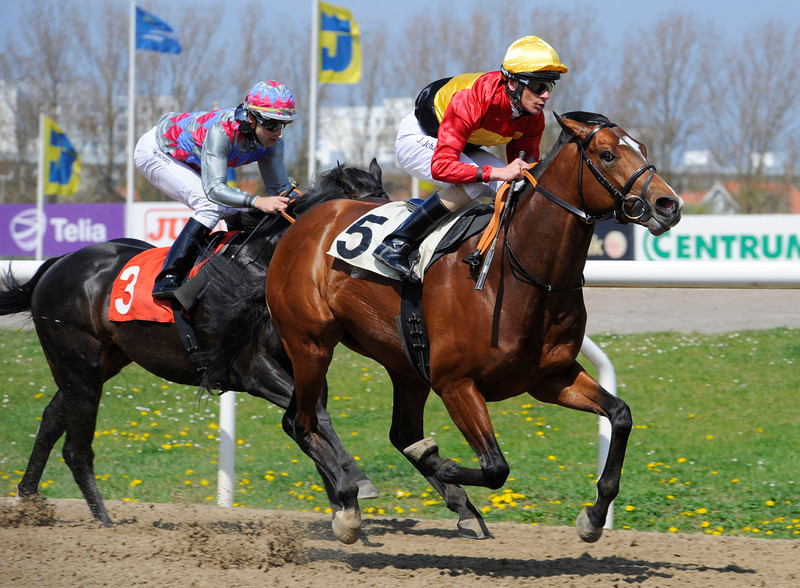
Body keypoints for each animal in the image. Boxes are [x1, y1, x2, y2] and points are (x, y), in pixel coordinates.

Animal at [0, 160, 388, 524]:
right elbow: (313, 416)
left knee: (52, 417)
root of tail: (57, 264)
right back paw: (104, 522)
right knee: (75, 447)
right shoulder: (252, 369)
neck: (264, 269)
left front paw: (343, 500)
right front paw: (355, 482)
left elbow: (305, 418)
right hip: (78, 362)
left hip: (100, 362)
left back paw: (29, 500)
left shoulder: (302, 362)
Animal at [268, 112, 680, 544]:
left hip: (404, 363)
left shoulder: (552, 377)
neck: (518, 272)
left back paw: (459, 507)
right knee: (302, 422)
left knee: (395, 431)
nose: (668, 204)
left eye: (642, 149)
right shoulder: (456, 383)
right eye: (606, 154)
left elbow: (620, 415)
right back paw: (348, 506)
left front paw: (595, 516)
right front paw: (439, 461)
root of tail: (307, 219)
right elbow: (496, 467)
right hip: (310, 343)